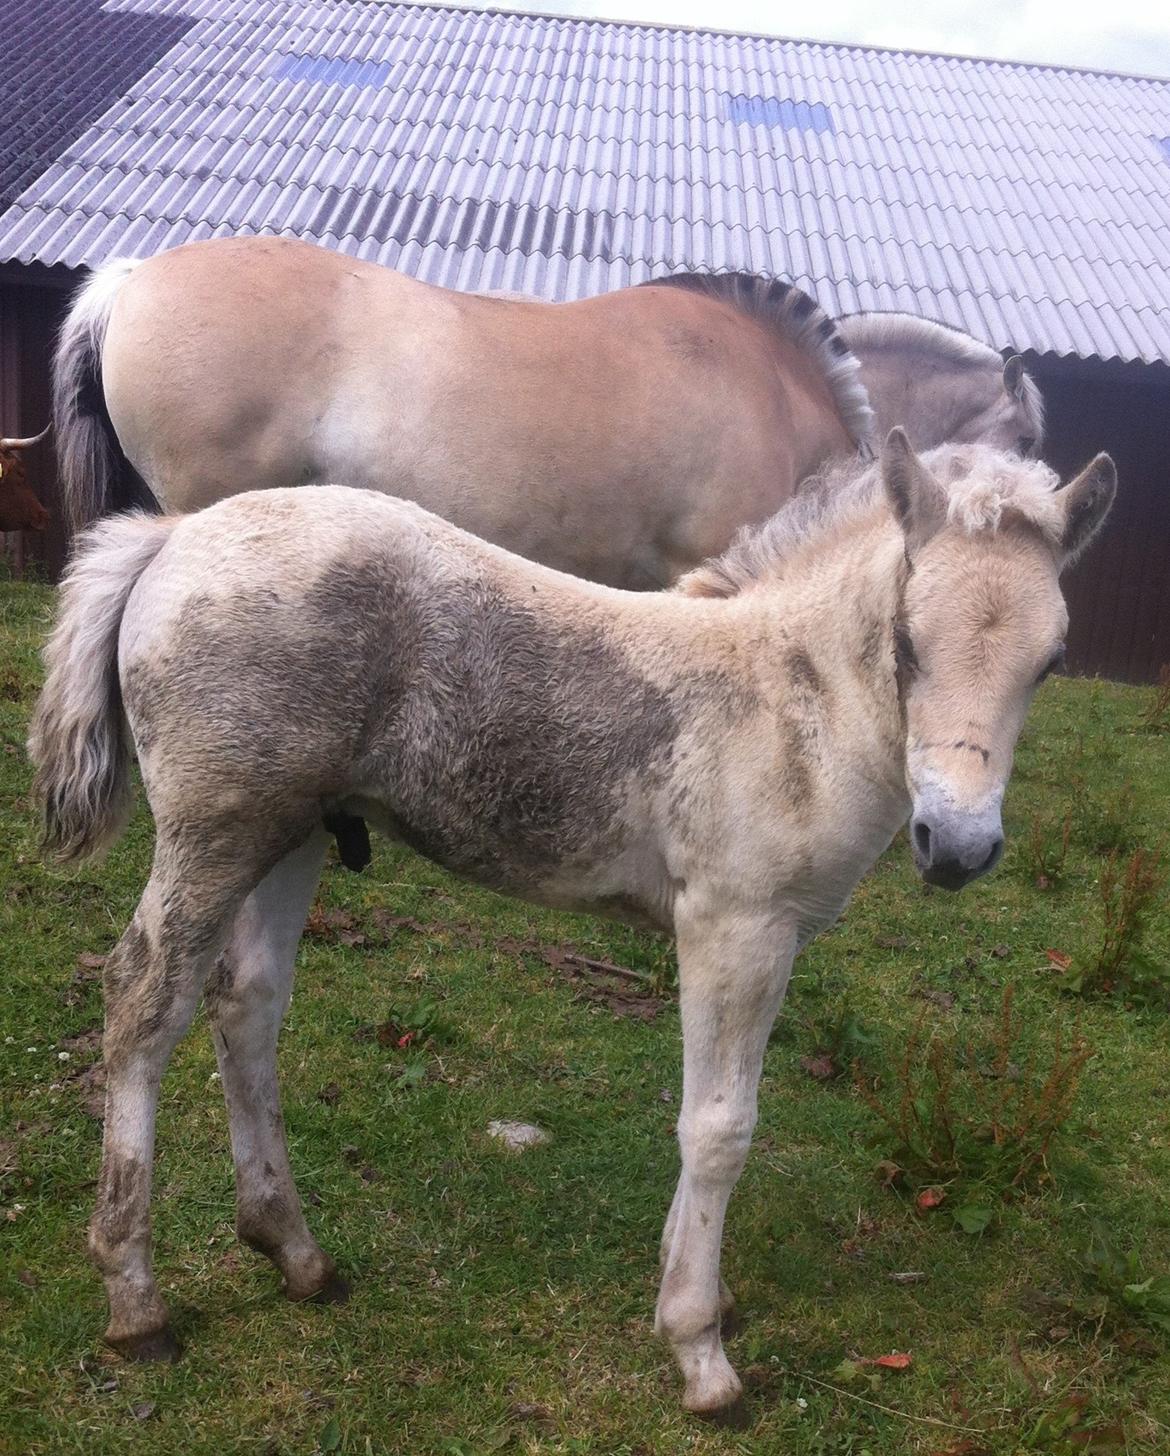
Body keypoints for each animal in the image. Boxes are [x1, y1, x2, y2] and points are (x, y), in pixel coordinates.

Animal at [29, 430, 1117, 1409]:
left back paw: (296, 1253)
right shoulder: (736, 930)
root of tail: (172, 534)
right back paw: (137, 1300)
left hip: (291, 831)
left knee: (246, 1004)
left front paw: (695, 1294)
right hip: (215, 832)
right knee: (144, 1002)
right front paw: (700, 1352)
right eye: (907, 641)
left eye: (1053, 659)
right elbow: (719, 1127)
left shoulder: (767, 938)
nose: (958, 846)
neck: (789, 696)